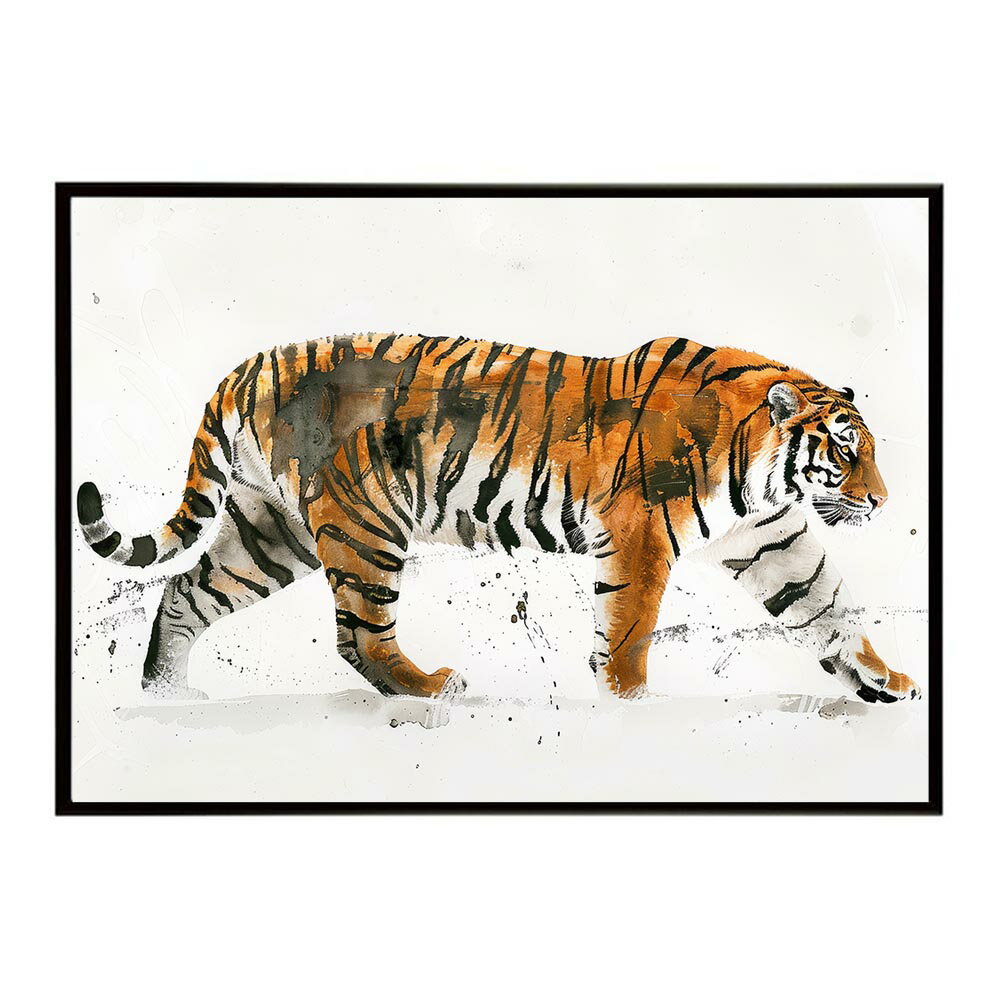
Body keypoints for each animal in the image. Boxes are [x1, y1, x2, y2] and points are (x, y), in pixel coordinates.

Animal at [77, 333, 921, 705]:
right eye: (847, 451)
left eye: (870, 451)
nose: (880, 501)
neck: (759, 466)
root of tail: (246, 368)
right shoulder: (640, 535)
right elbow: (628, 630)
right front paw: (628, 705)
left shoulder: (773, 538)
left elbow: (827, 604)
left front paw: (881, 679)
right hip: (365, 524)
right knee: (359, 637)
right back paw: (430, 689)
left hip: (268, 530)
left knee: (184, 593)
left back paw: (165, 698)